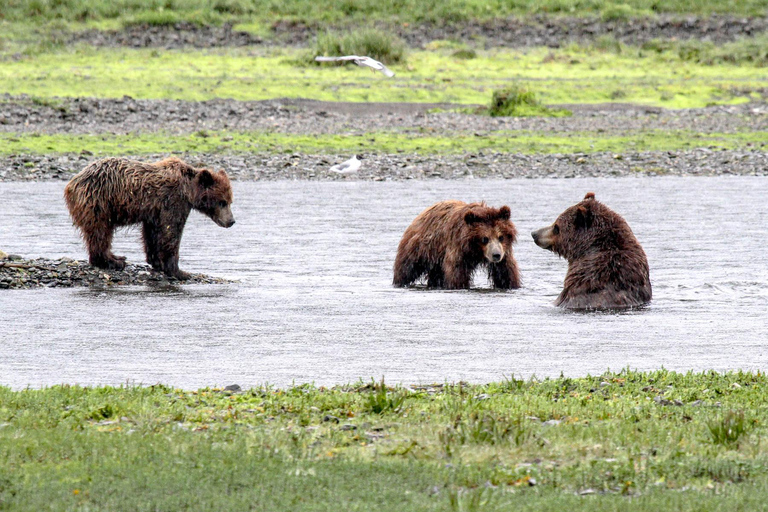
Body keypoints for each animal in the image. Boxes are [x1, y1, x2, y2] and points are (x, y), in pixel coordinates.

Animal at [64, 157, 235, 280]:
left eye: (230, 200)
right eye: (222, 202)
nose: (231, 221)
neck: (189, 191)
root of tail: (72, 183)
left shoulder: (154, 211)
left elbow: (152, 233)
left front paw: (156, 261)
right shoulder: (173, 202)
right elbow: (171, 232)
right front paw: (179, 271)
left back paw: (116, 257)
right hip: (100, 202)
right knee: (101, 232)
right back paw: (112, 261)